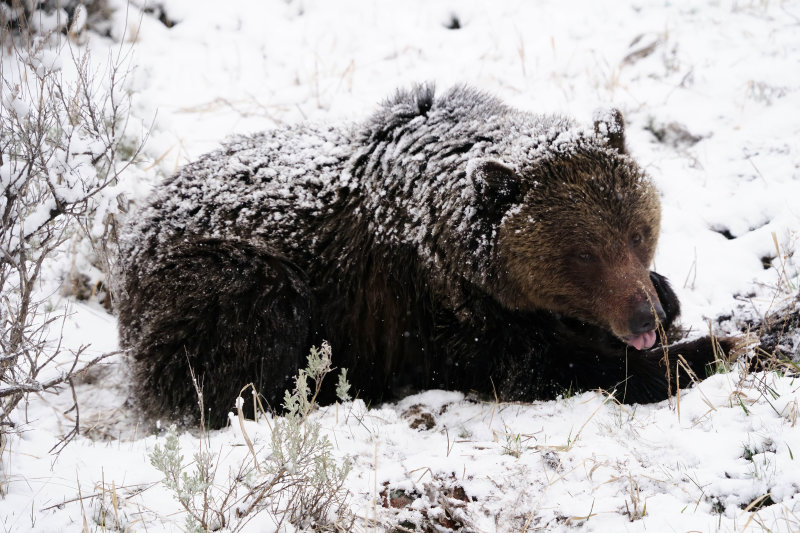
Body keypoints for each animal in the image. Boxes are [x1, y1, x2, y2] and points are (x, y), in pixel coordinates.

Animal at [115, 85, 736, 430]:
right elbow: (551, 365)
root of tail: (130, 239)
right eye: (582, 254)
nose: (642, 317)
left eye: (637, 233)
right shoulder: (439, 310)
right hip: (229, 279)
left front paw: (674, 307)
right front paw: (717, 347)